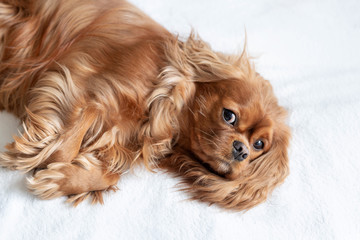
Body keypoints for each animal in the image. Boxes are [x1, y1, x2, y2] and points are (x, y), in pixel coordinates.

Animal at [0, 0, 290, 210]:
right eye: (229, 116)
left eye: (259, 145)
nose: (242, 150)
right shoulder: (78, 87)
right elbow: (67, 144)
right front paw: (39, 160)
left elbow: (109, 173)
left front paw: (63, 179)